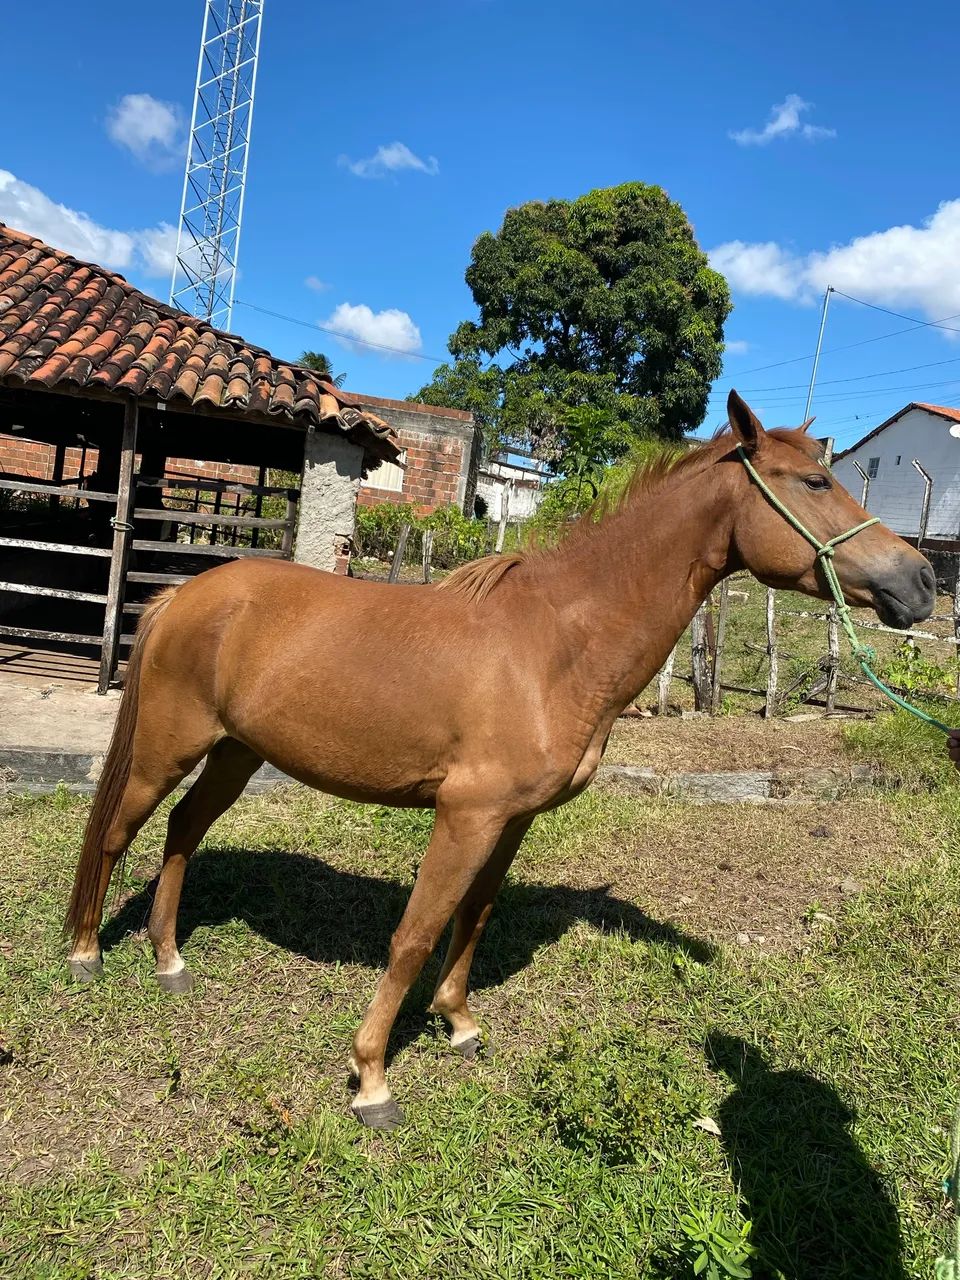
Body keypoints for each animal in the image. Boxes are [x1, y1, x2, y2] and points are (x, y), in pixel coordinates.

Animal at [65, 391, 935, 1129]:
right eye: (815, 481)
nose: (922, 580)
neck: (555, 645)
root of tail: (188, 594)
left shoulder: (512, 820)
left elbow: (475, 916)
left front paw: (457, 1024)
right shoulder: (466, 815)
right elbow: (415, 933)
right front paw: (372, 1079)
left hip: (236, 754)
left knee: (183, 831)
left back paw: (171, 960)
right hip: (168, 748)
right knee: (117, 833)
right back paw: (86, 954)